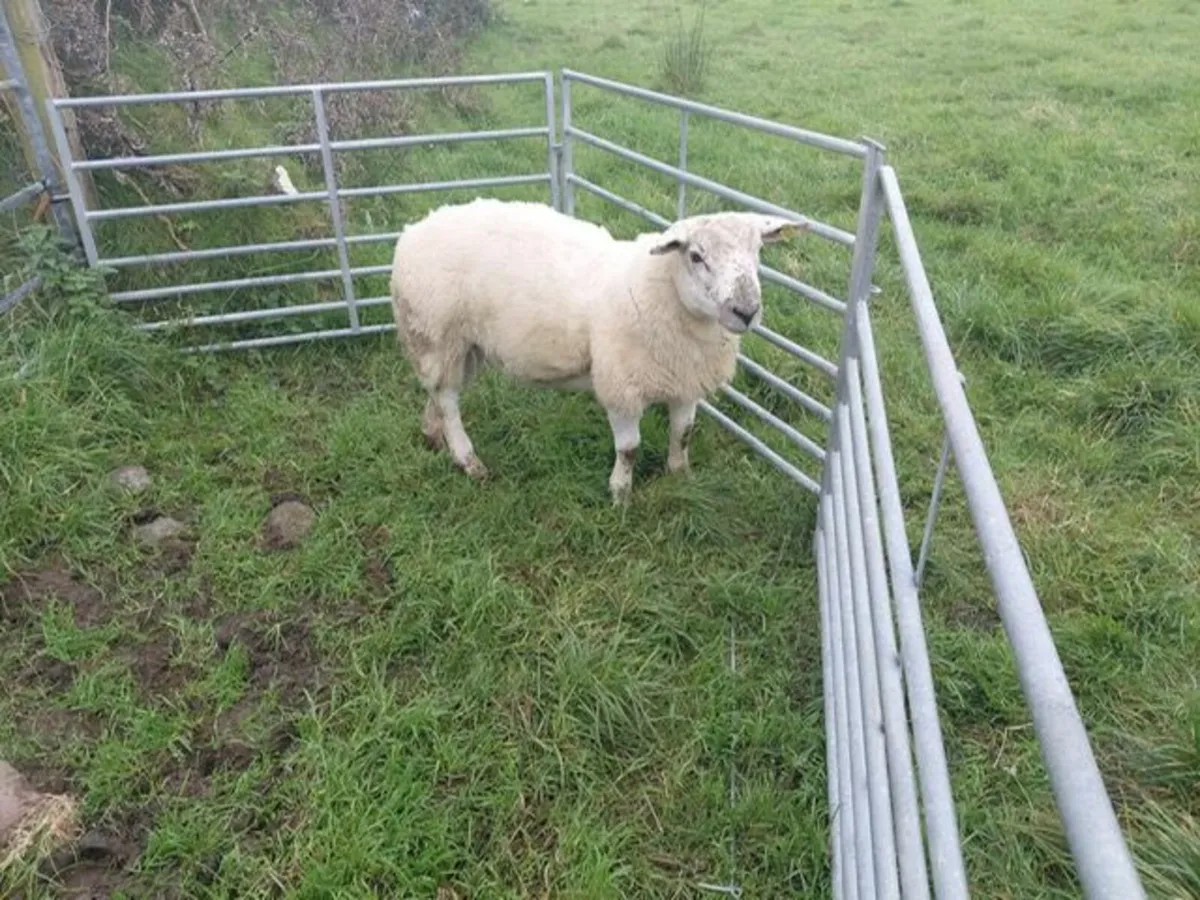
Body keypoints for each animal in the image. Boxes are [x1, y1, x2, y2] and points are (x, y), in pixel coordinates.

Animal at [388, 198, 806, 503]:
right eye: (696, 256)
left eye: (758, 251)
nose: (746, 311)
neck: (659, 291)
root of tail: (413, 230)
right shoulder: (620, 386)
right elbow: (630, 449)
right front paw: (620, 495)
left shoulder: (686, 382)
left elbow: (684, 433)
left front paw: (680, 476)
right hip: (436, 334)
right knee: (448, 400)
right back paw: (467, 459)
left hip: (463, 346)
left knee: (438, 393)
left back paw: (433, 435)